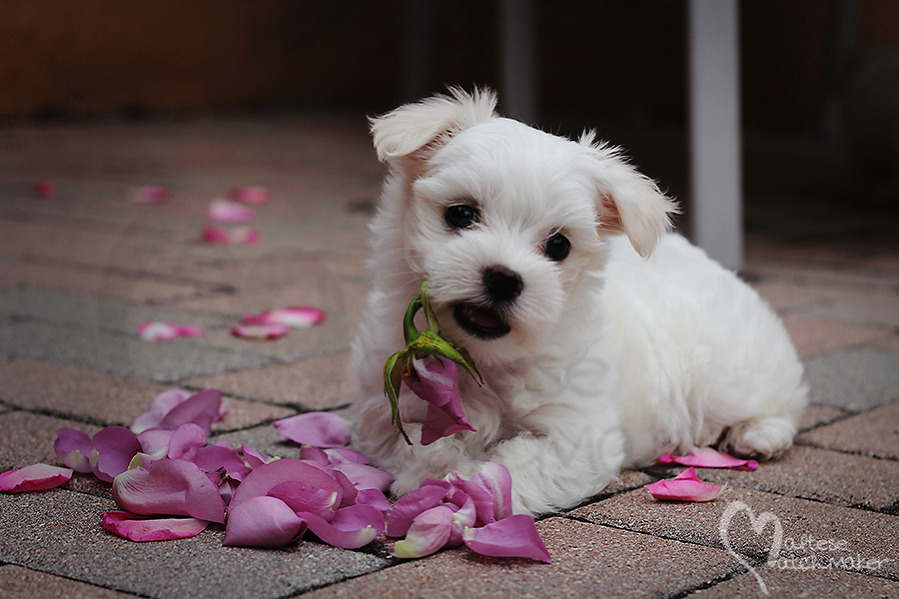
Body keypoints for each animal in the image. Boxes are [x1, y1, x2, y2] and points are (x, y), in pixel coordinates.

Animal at [352, 89, 808, 516]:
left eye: (558, 245)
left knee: (780, 400)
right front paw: (434, 472)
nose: (503, 278)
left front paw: (475, 484)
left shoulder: (580, 434)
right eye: (461, 214)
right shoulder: (387, 405)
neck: (484, 360)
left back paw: (755, 436)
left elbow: (519, 465)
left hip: (733, 378)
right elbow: (415, 442)